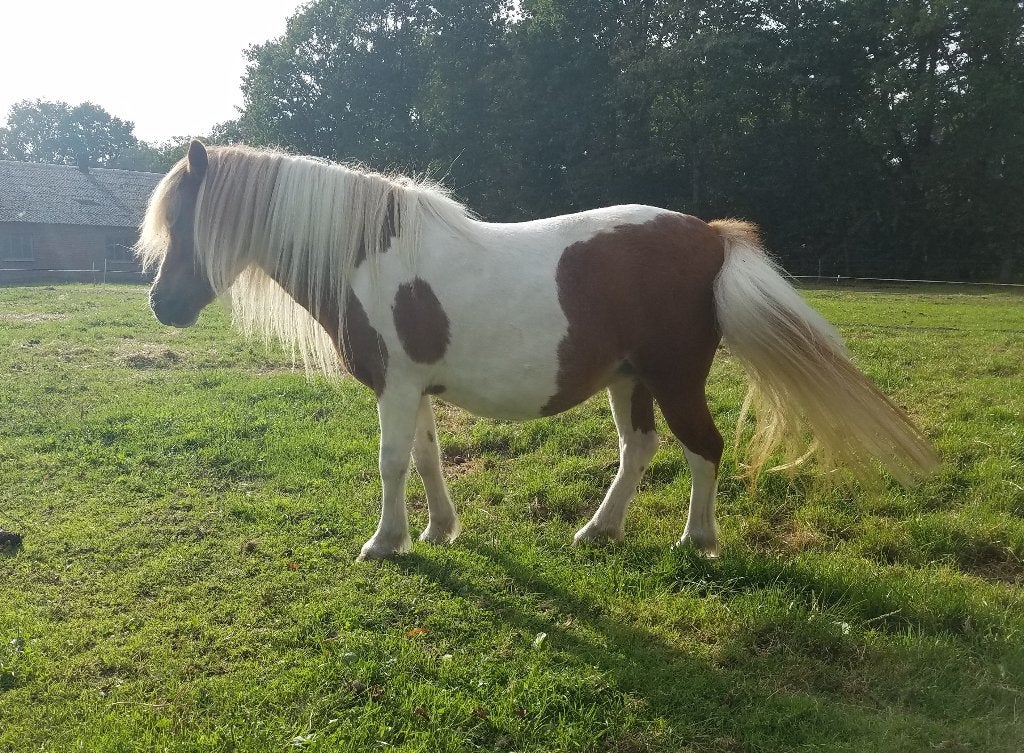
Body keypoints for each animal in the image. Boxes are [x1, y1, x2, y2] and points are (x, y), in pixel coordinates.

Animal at [137, 140, 938, 561]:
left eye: (191, 220)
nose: (161, 306)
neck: (370, 253)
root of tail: (711, 235)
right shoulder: (416, 388)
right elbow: (427, 458)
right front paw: (438, 528)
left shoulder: (396, 386)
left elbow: (393, 462)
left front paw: (386, 542)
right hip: (628, 379)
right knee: (639, 449)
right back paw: (600, 528)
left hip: (676, 379)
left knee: (702, 449)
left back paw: (696, 540)